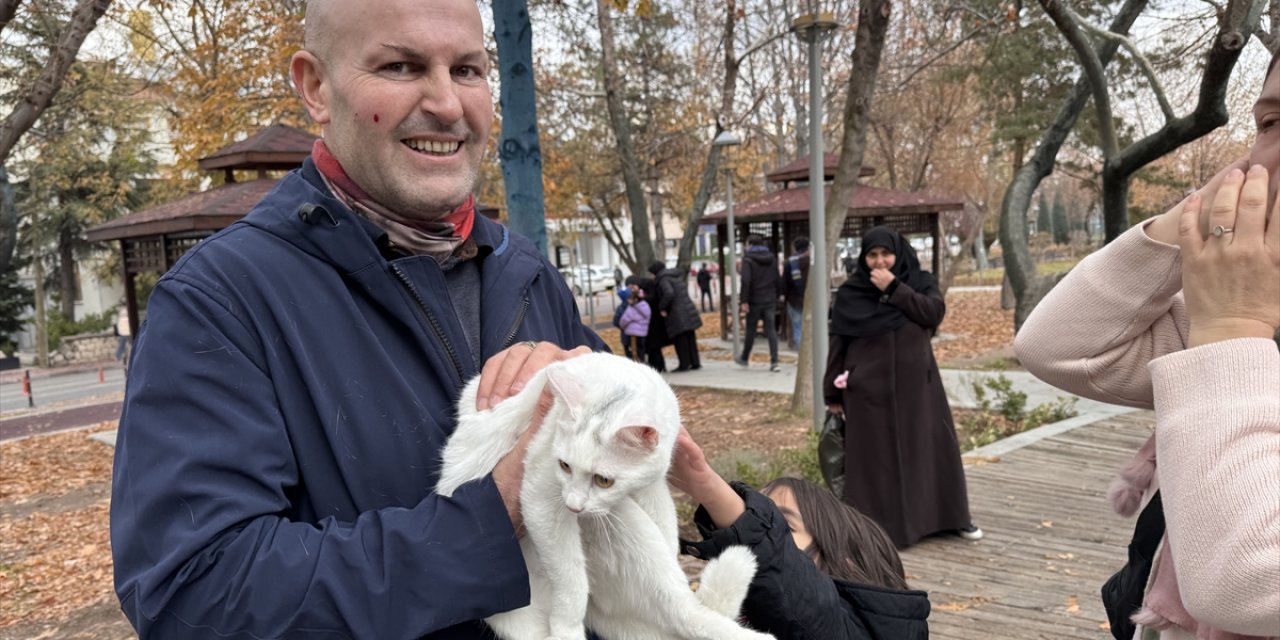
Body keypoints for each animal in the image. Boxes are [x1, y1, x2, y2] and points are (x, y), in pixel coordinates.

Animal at [435, 353, 768, 640]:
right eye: (564, 465)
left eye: (604, 480)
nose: (573, 506)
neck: (615, 386)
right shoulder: (541, 497)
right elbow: (571, 581)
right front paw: (567, 628)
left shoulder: (651, 484)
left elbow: (665, 522)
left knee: (683, 610)